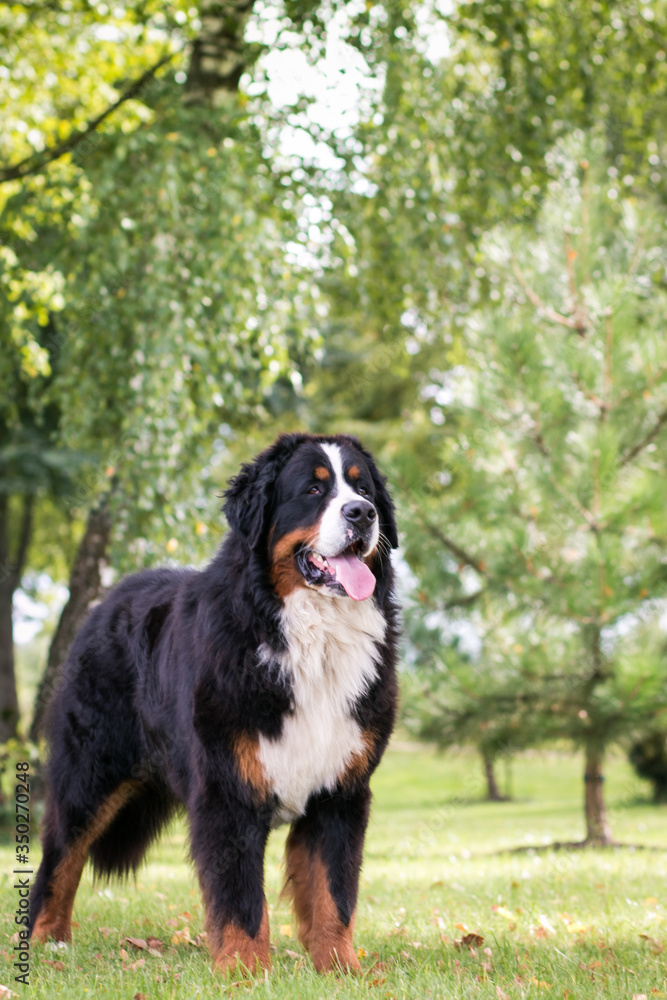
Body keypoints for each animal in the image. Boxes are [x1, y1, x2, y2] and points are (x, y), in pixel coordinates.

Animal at [28, 434, 400, 972]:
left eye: (363, 488)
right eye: (313, 489)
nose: (362, 513)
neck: (308, 638)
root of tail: (109, 598)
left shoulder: (340, 792)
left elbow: (334, 892)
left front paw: (340, 969)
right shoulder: (228, 790)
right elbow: (241, 897)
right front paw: (246, 971)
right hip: (90, 774)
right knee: (61, 858)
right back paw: (45, 941)